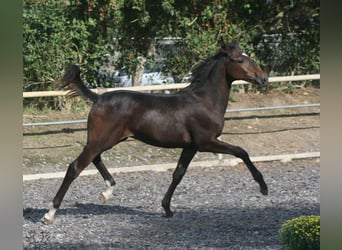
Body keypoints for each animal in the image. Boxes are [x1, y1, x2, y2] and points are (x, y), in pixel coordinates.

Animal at [42, 39, 268, 225]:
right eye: (239, 60)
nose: (264, 78)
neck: (204, 100)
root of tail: (98, 98)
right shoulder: (206, 142)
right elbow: (241, 152)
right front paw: (263, 187)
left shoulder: (191, 146)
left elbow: (178, 173)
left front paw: (167, 209)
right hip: (102, 139)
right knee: (75, 167)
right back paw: (50, 214)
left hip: (107, 139)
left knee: (95, 159)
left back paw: (107, 192)